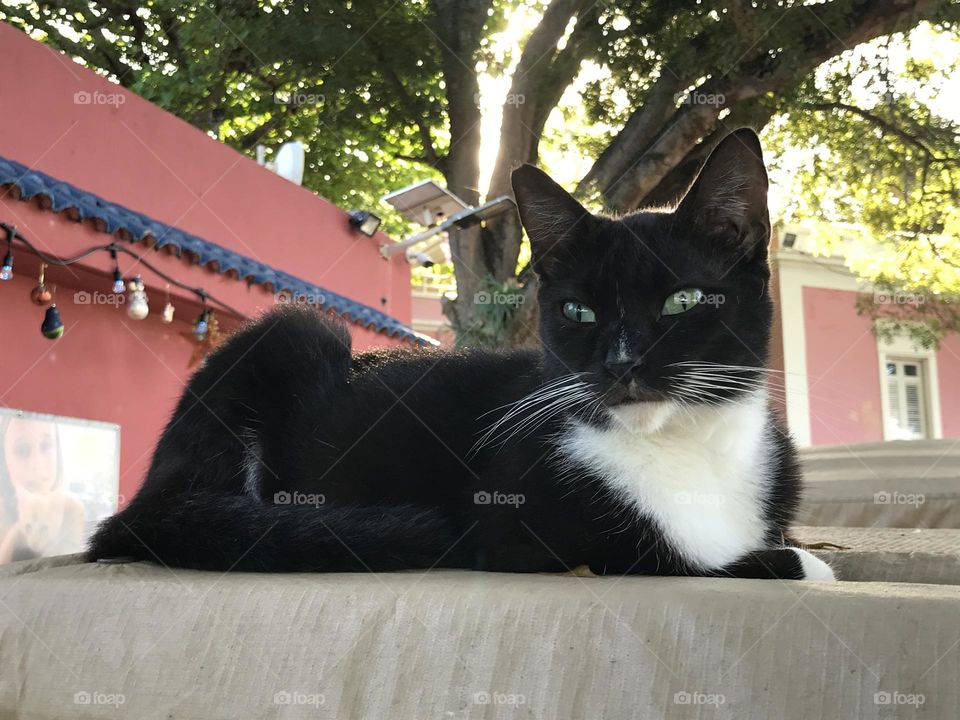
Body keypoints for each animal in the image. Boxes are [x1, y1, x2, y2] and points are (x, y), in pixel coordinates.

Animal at [88, 128, 832, 580]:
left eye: (684, 301)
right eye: (578, 311)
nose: (621, 365)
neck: (684, 447)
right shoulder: (513, 528)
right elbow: (650, 552)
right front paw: (796, 563)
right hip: (292, 336)